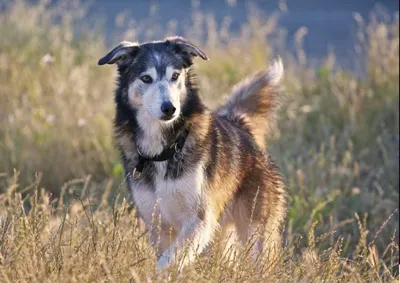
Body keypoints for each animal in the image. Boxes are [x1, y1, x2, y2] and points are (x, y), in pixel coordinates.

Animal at [99, 36, 288, 270]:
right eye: (146, 78)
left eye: (175, 76)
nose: (169, 108)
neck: (164, 150)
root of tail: (241, 127)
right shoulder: (159, 226)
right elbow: (166, 258)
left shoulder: (199, 220)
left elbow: (167, 262)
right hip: (221, 236)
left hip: (256, 234)